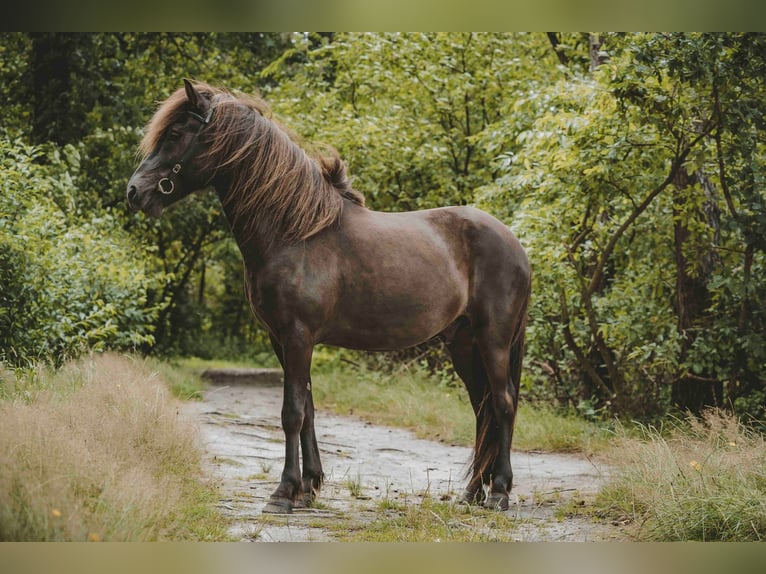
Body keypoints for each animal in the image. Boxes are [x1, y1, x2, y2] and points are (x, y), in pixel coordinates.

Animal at [127, 79, 536, 516]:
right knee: (482, 409)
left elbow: (291, 412)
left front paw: (283, 493)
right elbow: (307, 409)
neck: (295, 232)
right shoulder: (282, 339)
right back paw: (472, 492)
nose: (134, 192)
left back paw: (499, 492)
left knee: (503, 403)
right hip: (463, 343)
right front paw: (308, 487)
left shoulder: (297, 336)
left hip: (493, 341)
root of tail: (515, 244)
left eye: (175, 133)